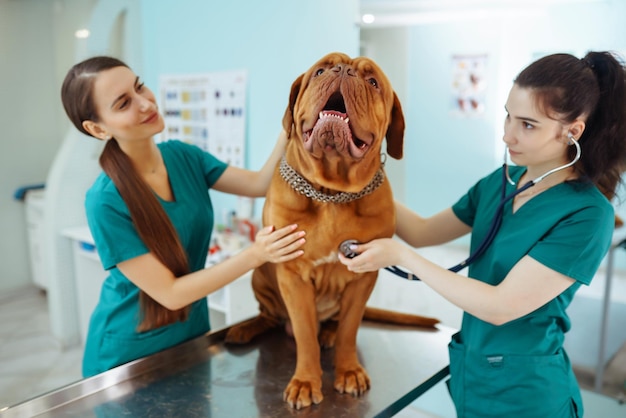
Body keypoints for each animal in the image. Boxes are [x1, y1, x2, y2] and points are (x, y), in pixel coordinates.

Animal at [225, 52, 438, 408]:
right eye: (321, 71)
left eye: (373, 81)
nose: (344, 70)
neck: (332, 193)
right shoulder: (293, 276)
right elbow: (304, 334)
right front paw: (305, 381)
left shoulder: (363, 277)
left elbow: (349, 330)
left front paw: (348, 371)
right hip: (260, 278)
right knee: (270, 316)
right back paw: (246, 329)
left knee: (334, 325)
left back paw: (327, 333)